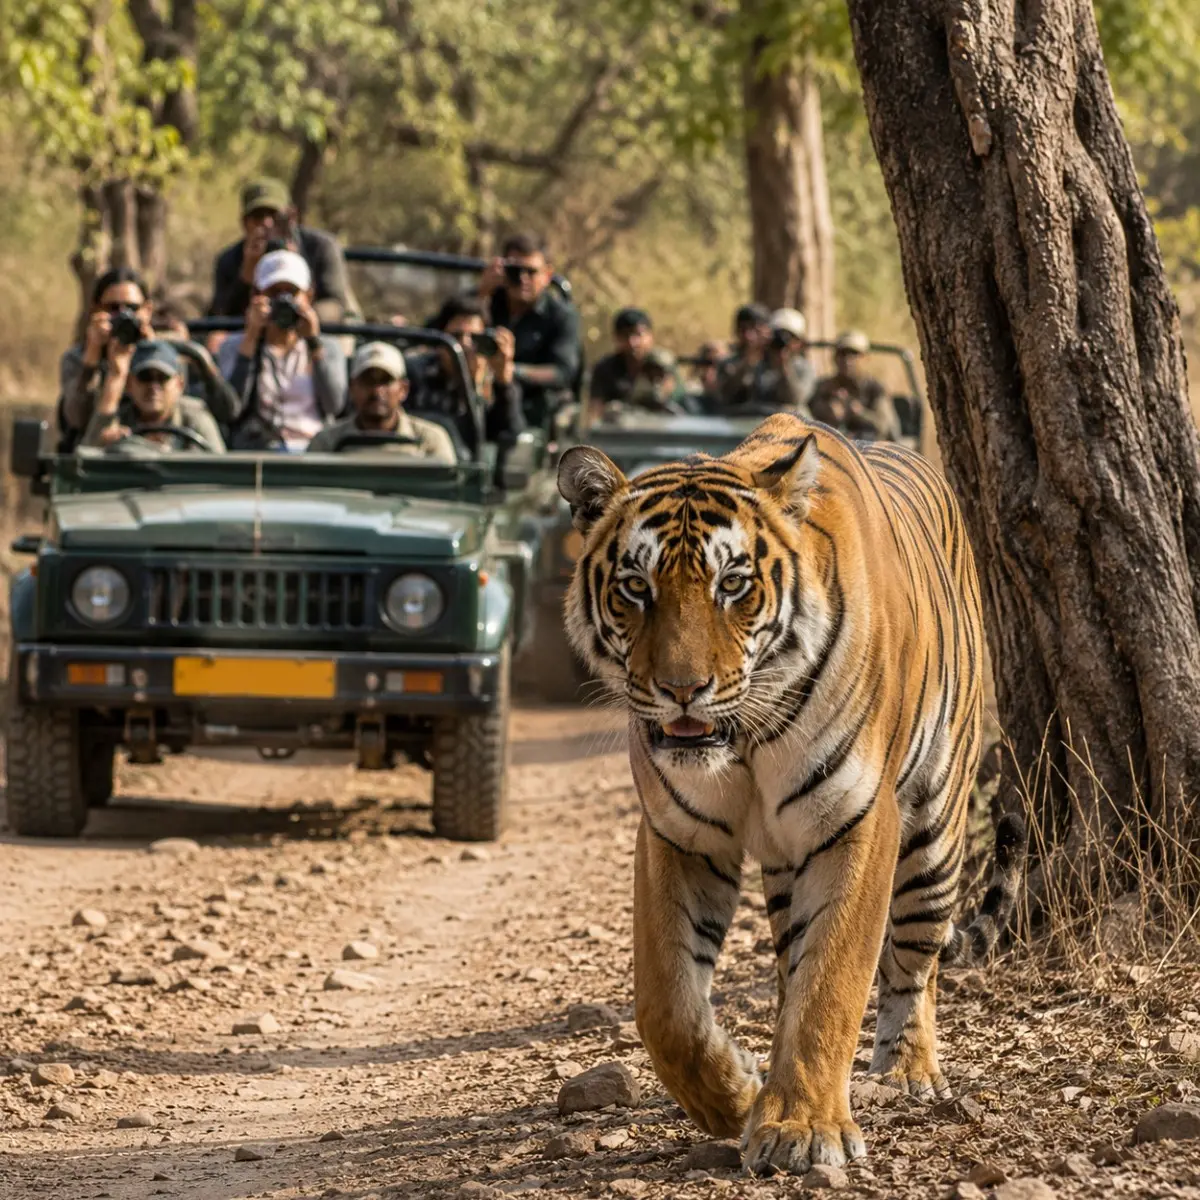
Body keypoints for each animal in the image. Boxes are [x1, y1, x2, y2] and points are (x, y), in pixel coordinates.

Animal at [556, 413, 1025, 1176]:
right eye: (635, 586)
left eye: (732, 584)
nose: (682, 690)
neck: (742, 740)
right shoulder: (678, 831)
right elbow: (666, 1005)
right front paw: (735, 1098)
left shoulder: (857, 821)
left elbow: (832, 981)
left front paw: (801, 1126)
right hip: (784, 862)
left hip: (935, 828)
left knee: (915, 962)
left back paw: (908, 1073)